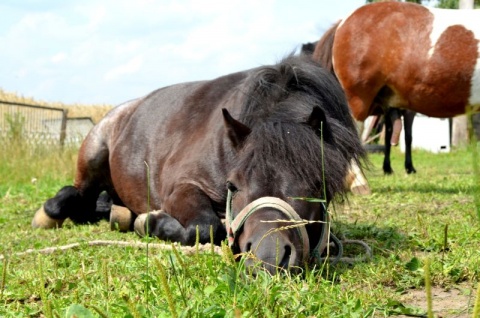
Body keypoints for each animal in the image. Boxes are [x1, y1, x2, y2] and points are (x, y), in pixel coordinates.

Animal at [31, 55, 366, 274]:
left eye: (317, 186)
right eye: (234, 185)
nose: (268, 258)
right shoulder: (182, 187)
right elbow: (206, 228)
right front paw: (151, 223)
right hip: (93, 154)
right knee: (78, 194)